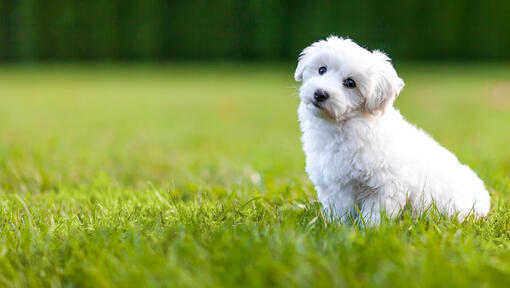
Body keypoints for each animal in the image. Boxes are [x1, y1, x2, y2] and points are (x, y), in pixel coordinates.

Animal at [294, 36, 490, 224]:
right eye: (321, 70)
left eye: (350, 83)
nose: (320, 93)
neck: (344, 125)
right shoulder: (333, 187)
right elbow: (340, 211)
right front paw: (338, 227)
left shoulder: (384, 186)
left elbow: (375, 215)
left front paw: (370, 230)